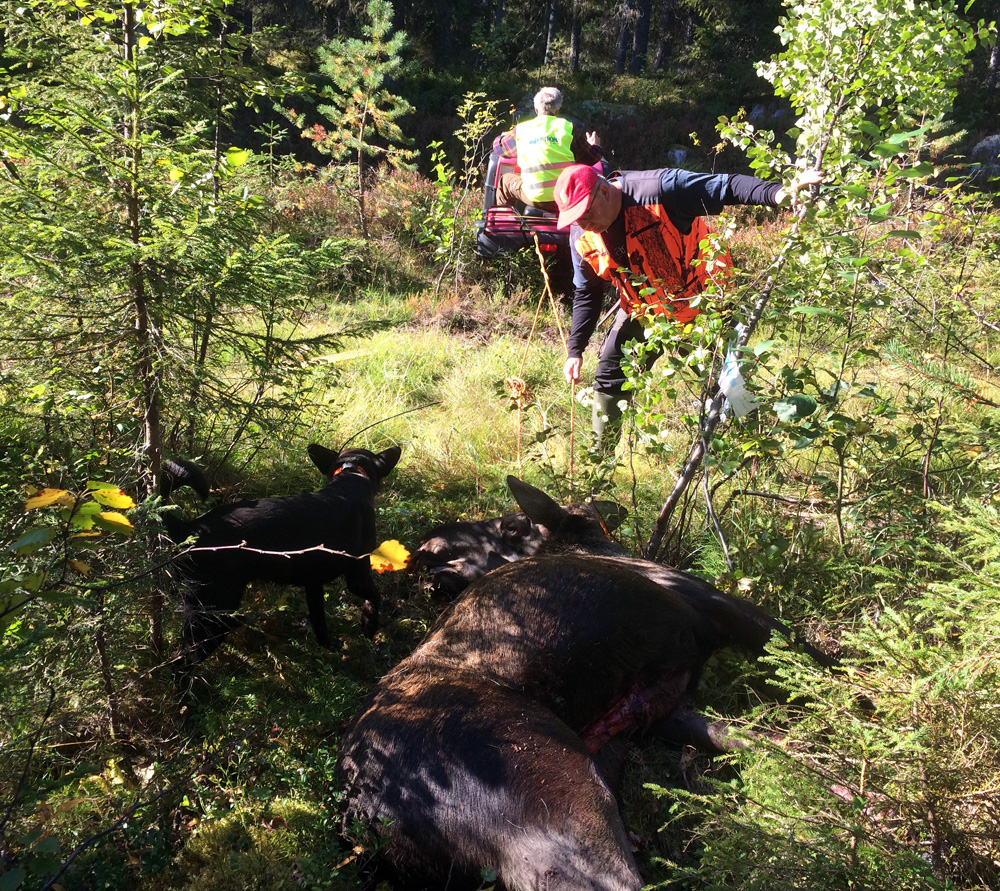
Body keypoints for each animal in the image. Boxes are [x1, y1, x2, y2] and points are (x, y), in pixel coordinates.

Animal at [162, 443, 401, 666]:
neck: (352, 473)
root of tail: (188, 528)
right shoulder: (358, 575)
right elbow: (375, 597)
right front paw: (369, 626)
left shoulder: (313, 584)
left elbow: (319, 620)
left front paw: (327, 646)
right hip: (215, 611)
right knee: (183, 662)